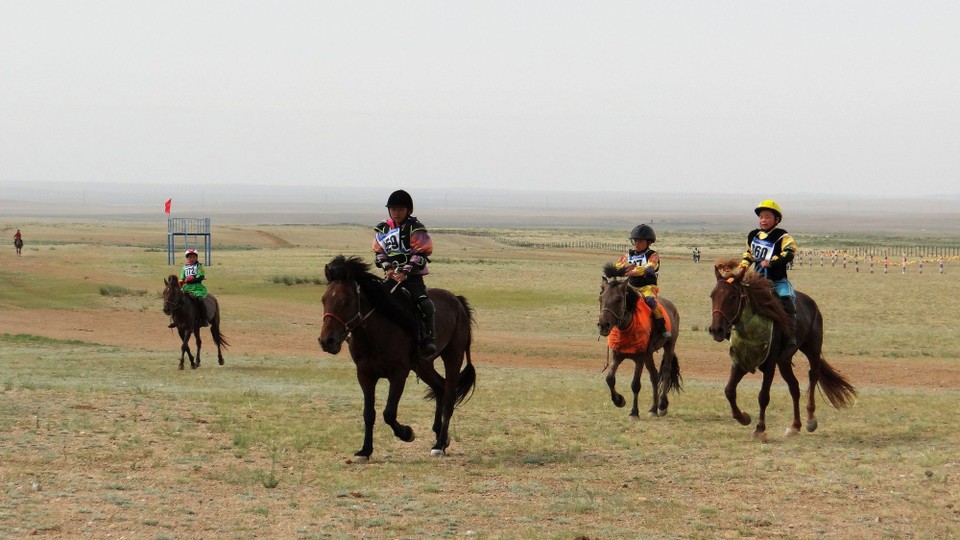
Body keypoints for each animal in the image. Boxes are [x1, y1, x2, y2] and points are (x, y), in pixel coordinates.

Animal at [318, 255, 476, 458]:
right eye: (323, 300)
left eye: (346, 301)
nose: (327, 341)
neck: (377, 333)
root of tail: (457, 300)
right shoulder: (365, 375)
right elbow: (368, 413)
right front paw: (365, 450)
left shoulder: (398, 374)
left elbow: (389, 413)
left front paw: (407, 433)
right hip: (423, 365)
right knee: (440, 387)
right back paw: (440, 435)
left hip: (453, 357)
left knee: (449, 398)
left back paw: (439, 444)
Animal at [596, 264, 688, 420]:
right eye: (601, 298)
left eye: (619, 299)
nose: (603, 325)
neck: (627, 326)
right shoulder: (617, 355)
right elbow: (610, 379)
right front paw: (619, 401)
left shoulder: (640, 357)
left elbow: (635, 384)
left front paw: (634, 412)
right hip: (649, 355)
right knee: (654, 376)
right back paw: (653, 409)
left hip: (669, 345)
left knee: (665, 371)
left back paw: (662, 406)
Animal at [704, 260, 856, 440]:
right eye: (713, 295)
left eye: (733, 296)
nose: (716, 330)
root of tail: (812, 303)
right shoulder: (740, 361)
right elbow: (729, 390)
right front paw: (743, 417)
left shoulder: (769, 365)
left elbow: (763, 396)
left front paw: (760, 429)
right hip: (784, 361)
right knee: (794, 386)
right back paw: (795, 426)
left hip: (812, 348)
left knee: (813, 375)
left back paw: (810, 419)